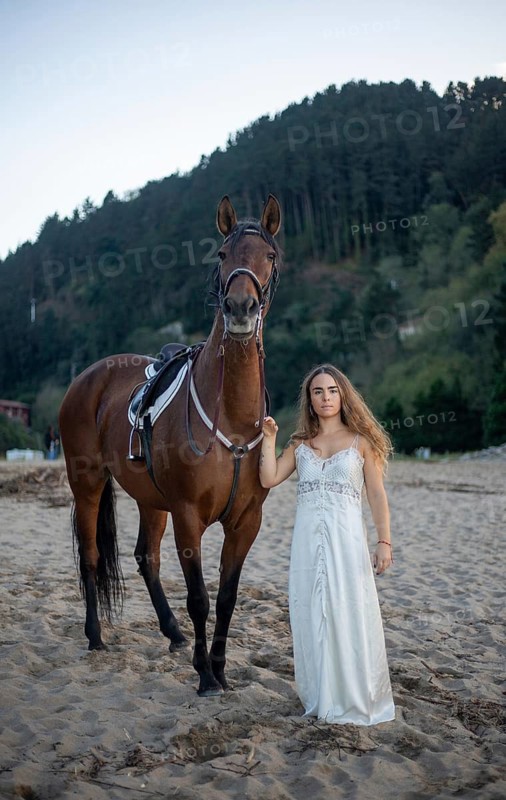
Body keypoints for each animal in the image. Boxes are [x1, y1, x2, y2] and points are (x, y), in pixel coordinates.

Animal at [59, 194, 282, 696]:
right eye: (222, 254)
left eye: (270, 255)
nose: (241, 308)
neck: (230, 417)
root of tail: (87, 377)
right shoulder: (188, 516)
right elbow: (199, 598)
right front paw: (205, 676)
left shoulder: (247, 522)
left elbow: (226, 598)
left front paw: (219, 667)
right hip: (89, 485)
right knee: (91, 556)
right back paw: (95, 636)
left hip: (150, 499)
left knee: (146, 558)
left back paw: (173, 633)